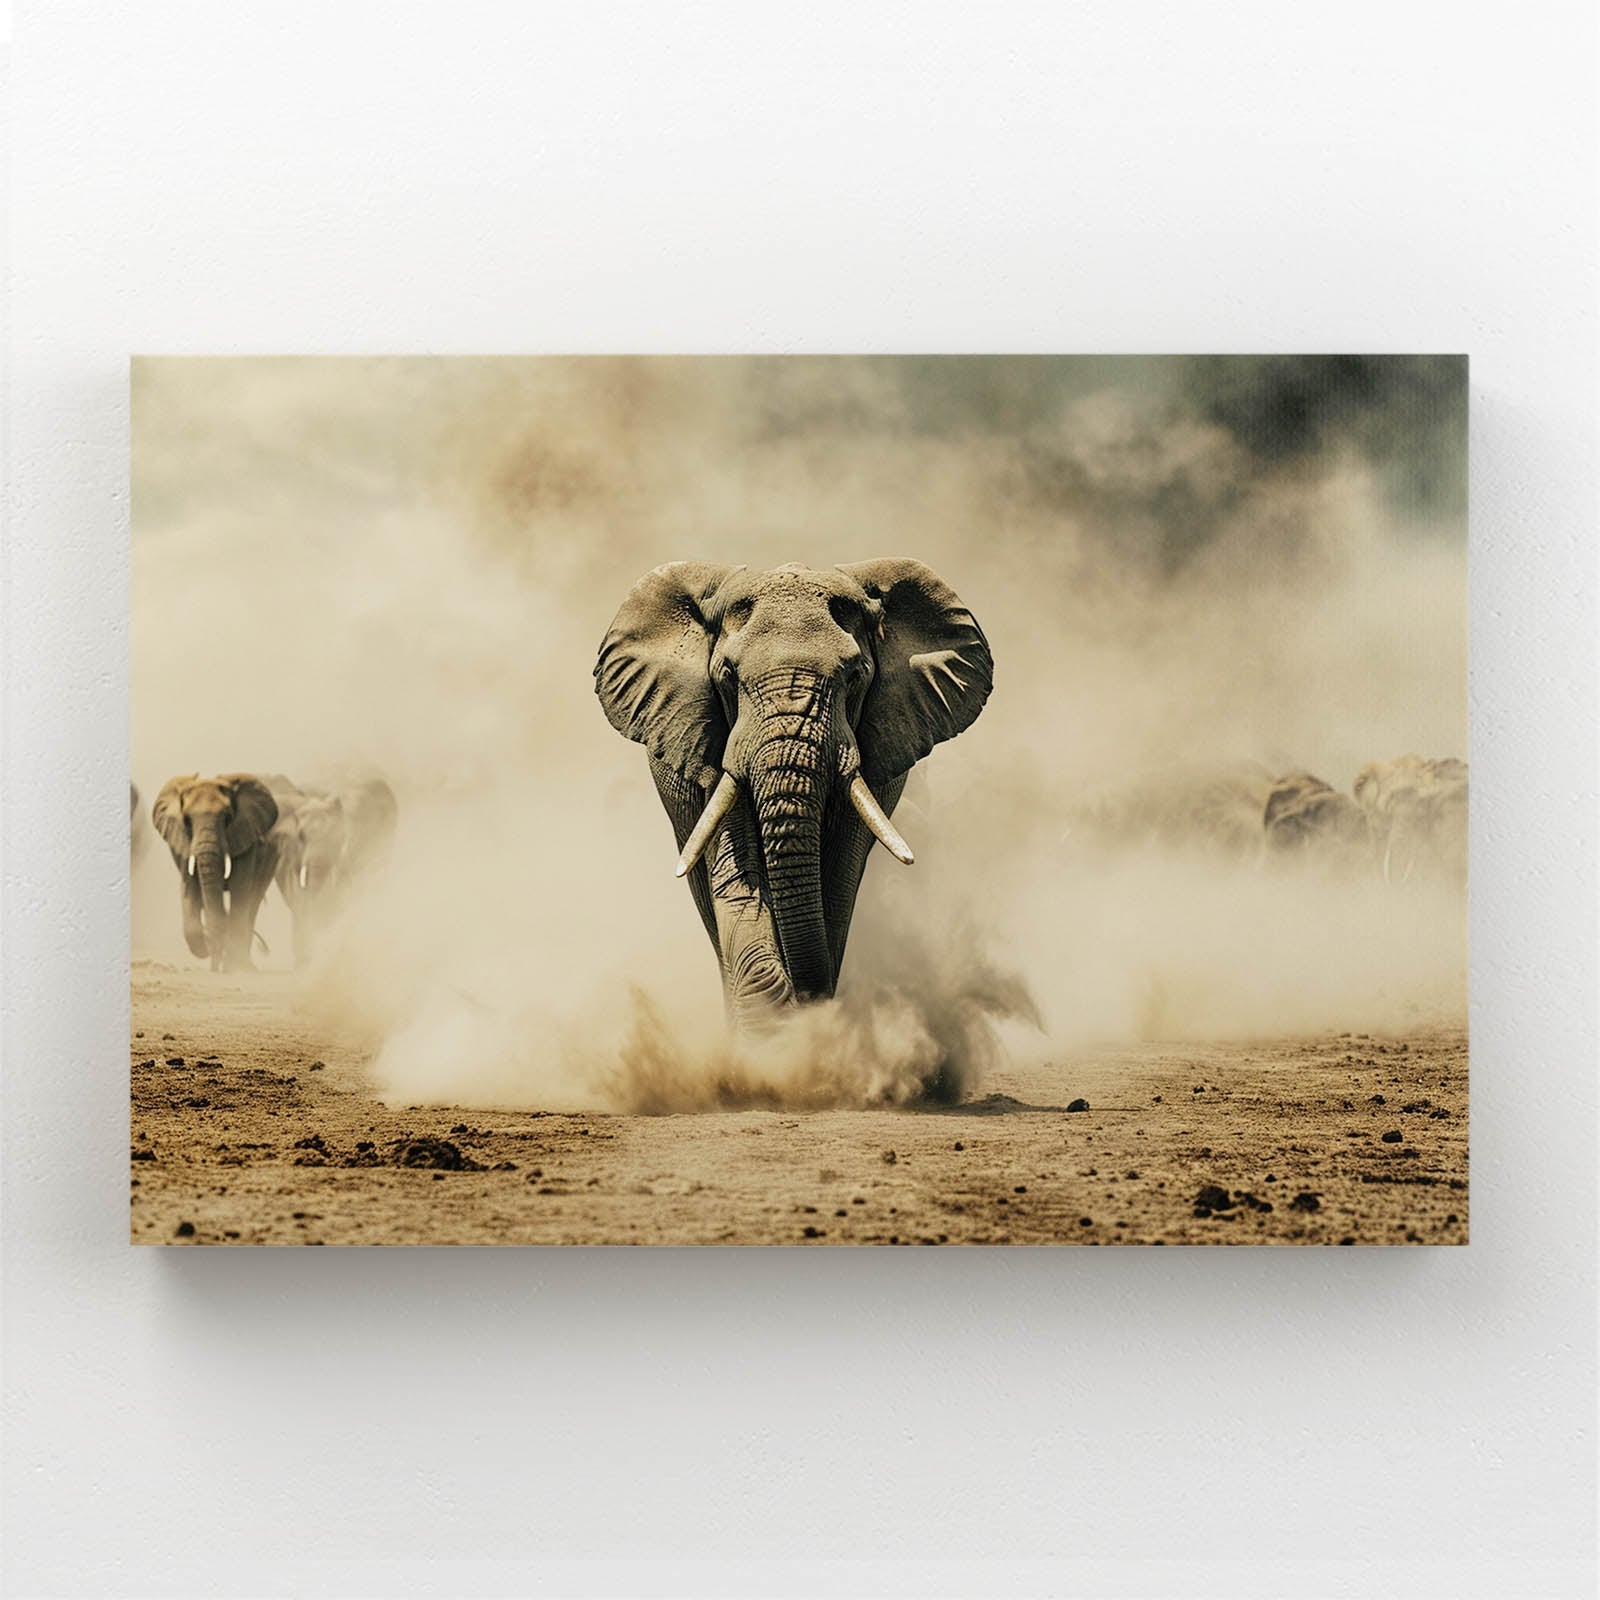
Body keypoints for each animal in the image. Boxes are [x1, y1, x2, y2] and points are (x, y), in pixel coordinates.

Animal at [151, 774, 279, 971]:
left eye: (227, 818)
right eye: (186, 820)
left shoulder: (245, 836)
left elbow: (240, 888)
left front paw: (235, 968)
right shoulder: (182, 843)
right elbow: (191, 887)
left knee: (253, 899)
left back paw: (244, 966)